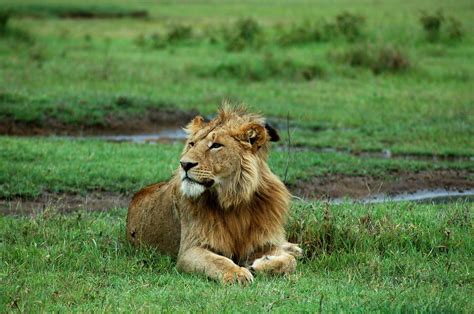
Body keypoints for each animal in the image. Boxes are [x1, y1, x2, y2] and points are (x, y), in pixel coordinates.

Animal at [126, 105, 302, 284]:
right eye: (192, 144)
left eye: (216, 145)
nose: (184, 164)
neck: (234, 200)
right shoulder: (189, 250)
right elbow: (218, 261)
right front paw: (237, 274)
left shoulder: (260, 242)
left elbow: (290, 262)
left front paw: (260, 265)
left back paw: (294, 248)